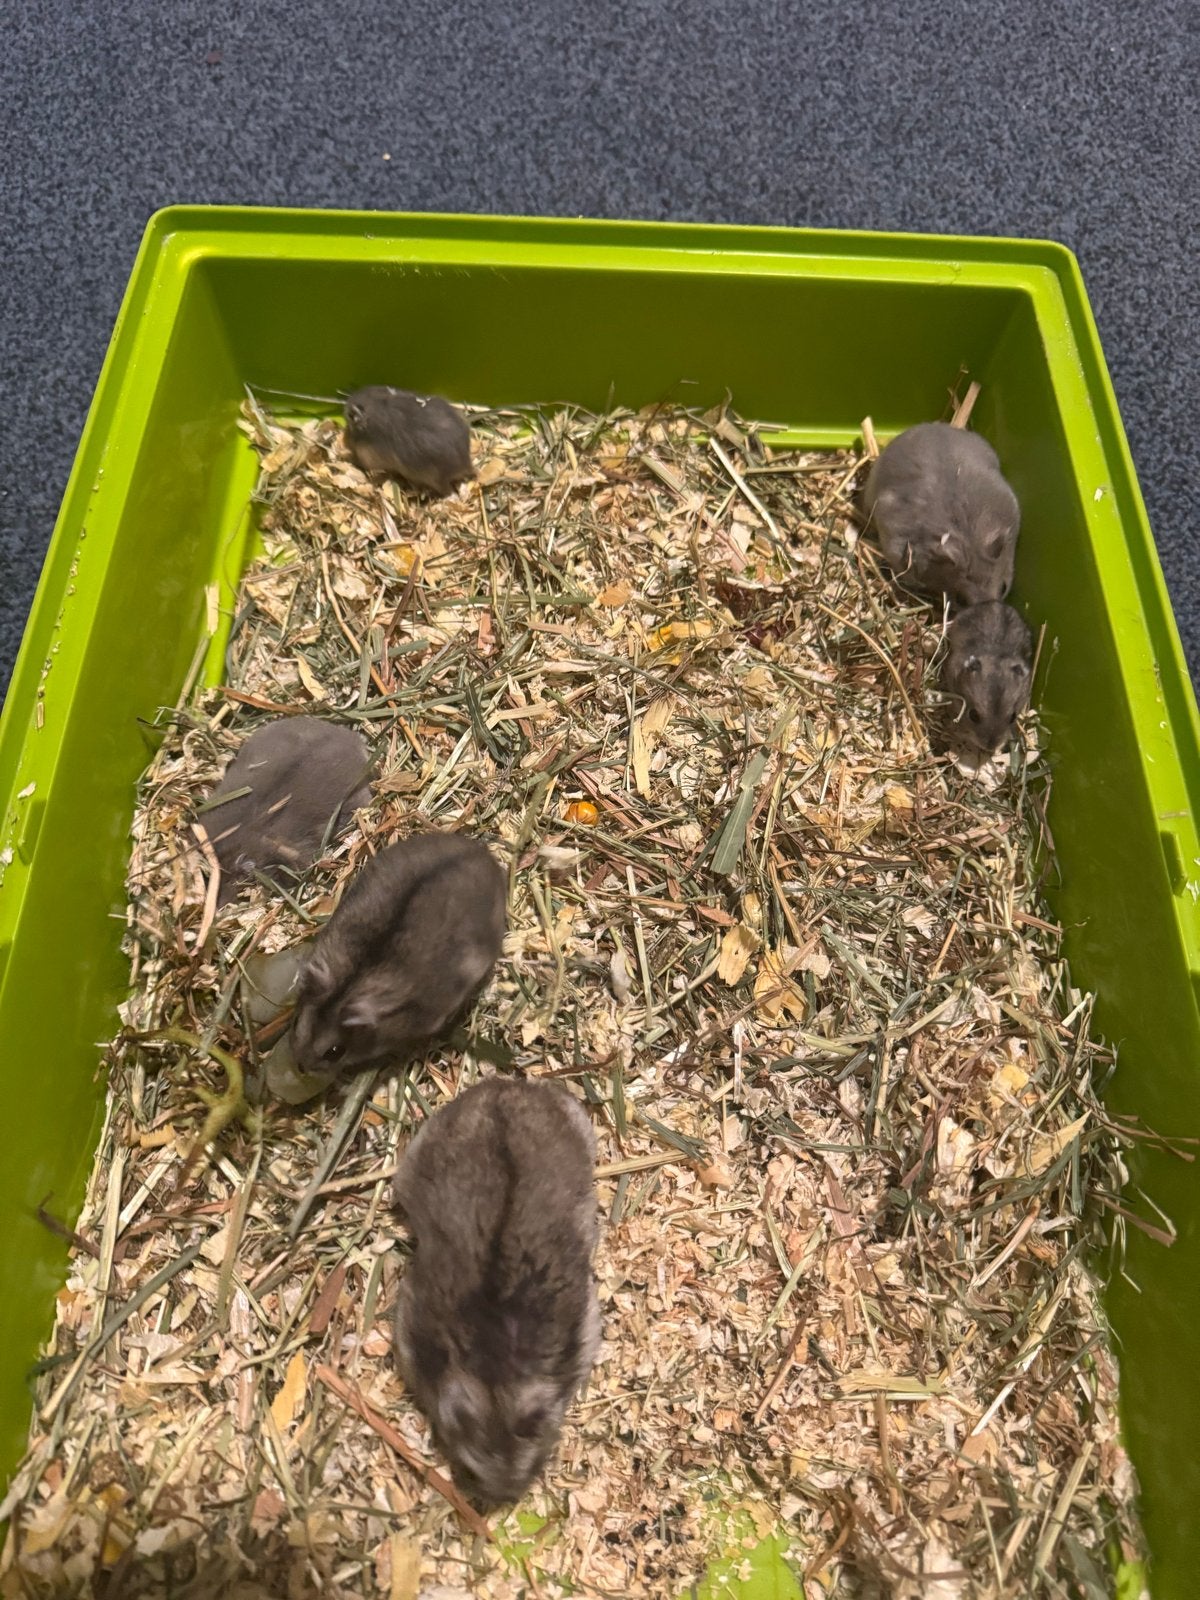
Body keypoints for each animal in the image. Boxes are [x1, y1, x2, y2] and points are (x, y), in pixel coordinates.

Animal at [344, 386, 474, 497]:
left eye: (350, 416)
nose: (344, 442)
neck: (377, 405)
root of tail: (467, 464)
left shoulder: (367, 455)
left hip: (432, 478)